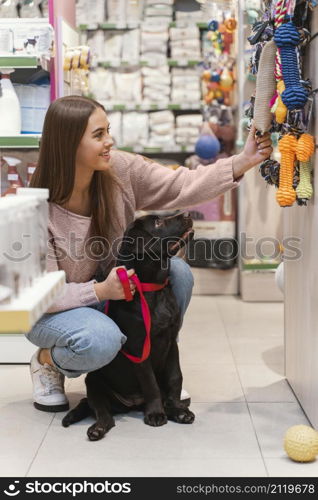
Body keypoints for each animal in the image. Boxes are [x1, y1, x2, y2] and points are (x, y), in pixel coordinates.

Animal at [61, 213, 195, 440]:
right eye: (158, 222)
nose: (188, 214)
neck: (153, 289)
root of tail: (131, 404)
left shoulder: (171, 341)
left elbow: (175, 376)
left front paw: (178, 409)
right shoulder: (139, 349)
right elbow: (150, 383)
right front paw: (155, 414)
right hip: (94, 382)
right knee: (102, 413)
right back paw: (98, 428)